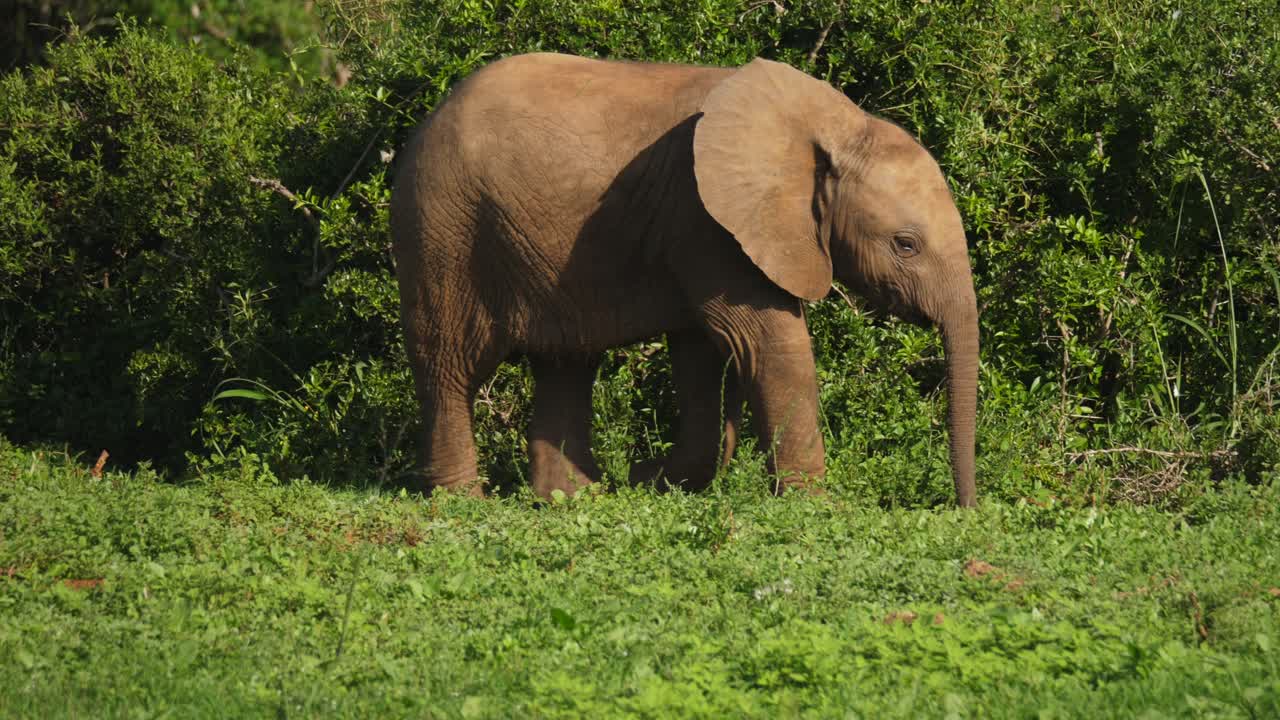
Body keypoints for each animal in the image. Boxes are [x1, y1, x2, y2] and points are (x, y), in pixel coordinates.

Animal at [390, 52, 979, 506]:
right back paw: (464, 502)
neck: (833, 124)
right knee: (449, 362)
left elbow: (701, 355)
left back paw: (571, 499)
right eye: (906, 245)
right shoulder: (706, 219)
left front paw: (656, 480)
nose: (963, 507)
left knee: (565, 362)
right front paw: (814, 506)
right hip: (444, 228)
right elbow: (768, 345)